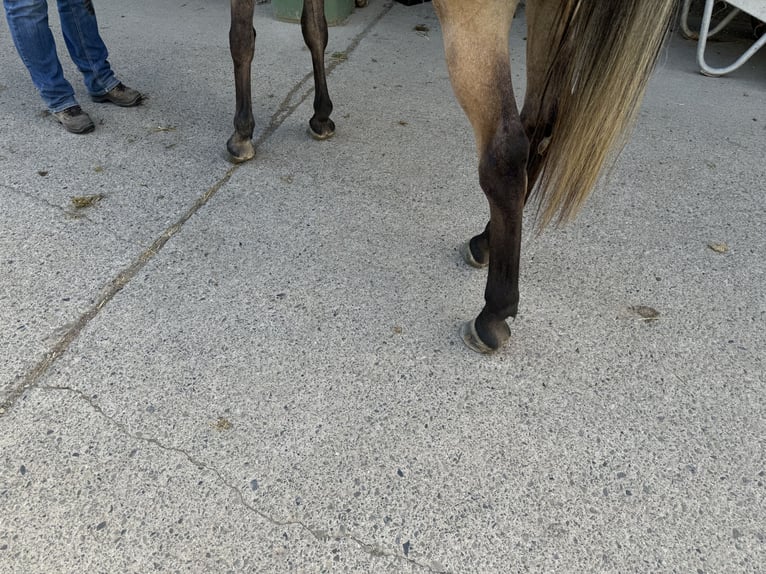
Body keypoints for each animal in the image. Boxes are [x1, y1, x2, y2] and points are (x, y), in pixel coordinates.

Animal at [226, 0, 680, 354]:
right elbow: (314, 29)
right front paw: (321, 115)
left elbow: (242, 37)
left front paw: (242, 132)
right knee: (542, 120)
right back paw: (484, 242)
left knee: (506, 151)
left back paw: (493, 314)